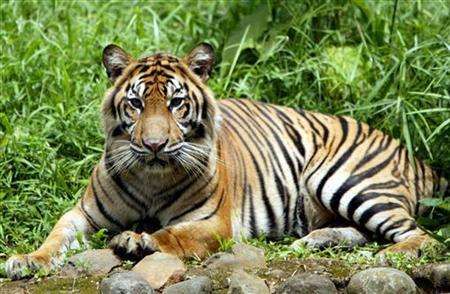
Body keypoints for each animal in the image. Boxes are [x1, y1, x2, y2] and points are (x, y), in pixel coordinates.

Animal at [5, 42, 448, 280]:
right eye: (136, 104)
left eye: (176, 103)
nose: (153, 144)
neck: (151, 178)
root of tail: (407, 150)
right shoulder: (83, 214)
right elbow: (56, 237)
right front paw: (25, 260)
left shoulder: (213, 222)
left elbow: (175, 235)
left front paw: (139, 239)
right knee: (365, 232)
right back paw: (312, 241)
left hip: (343, 179)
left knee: (423, 236)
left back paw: (389, 255)